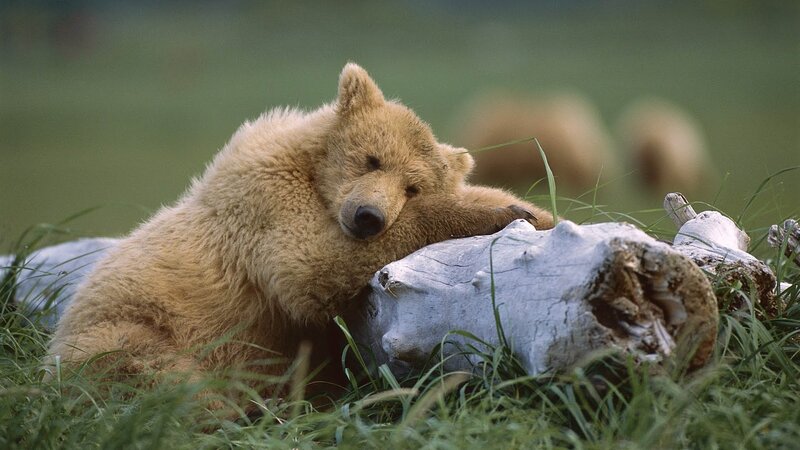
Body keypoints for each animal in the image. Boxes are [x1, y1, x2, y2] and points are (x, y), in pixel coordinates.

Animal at [46, 63, 554, 405]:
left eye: (412, 186)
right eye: (372, 159)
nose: (368, 216)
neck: (313, 171)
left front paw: (532, 210)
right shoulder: (265, 201)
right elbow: (309, 266)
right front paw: (498, 213)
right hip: (127, 327)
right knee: (155, 374)